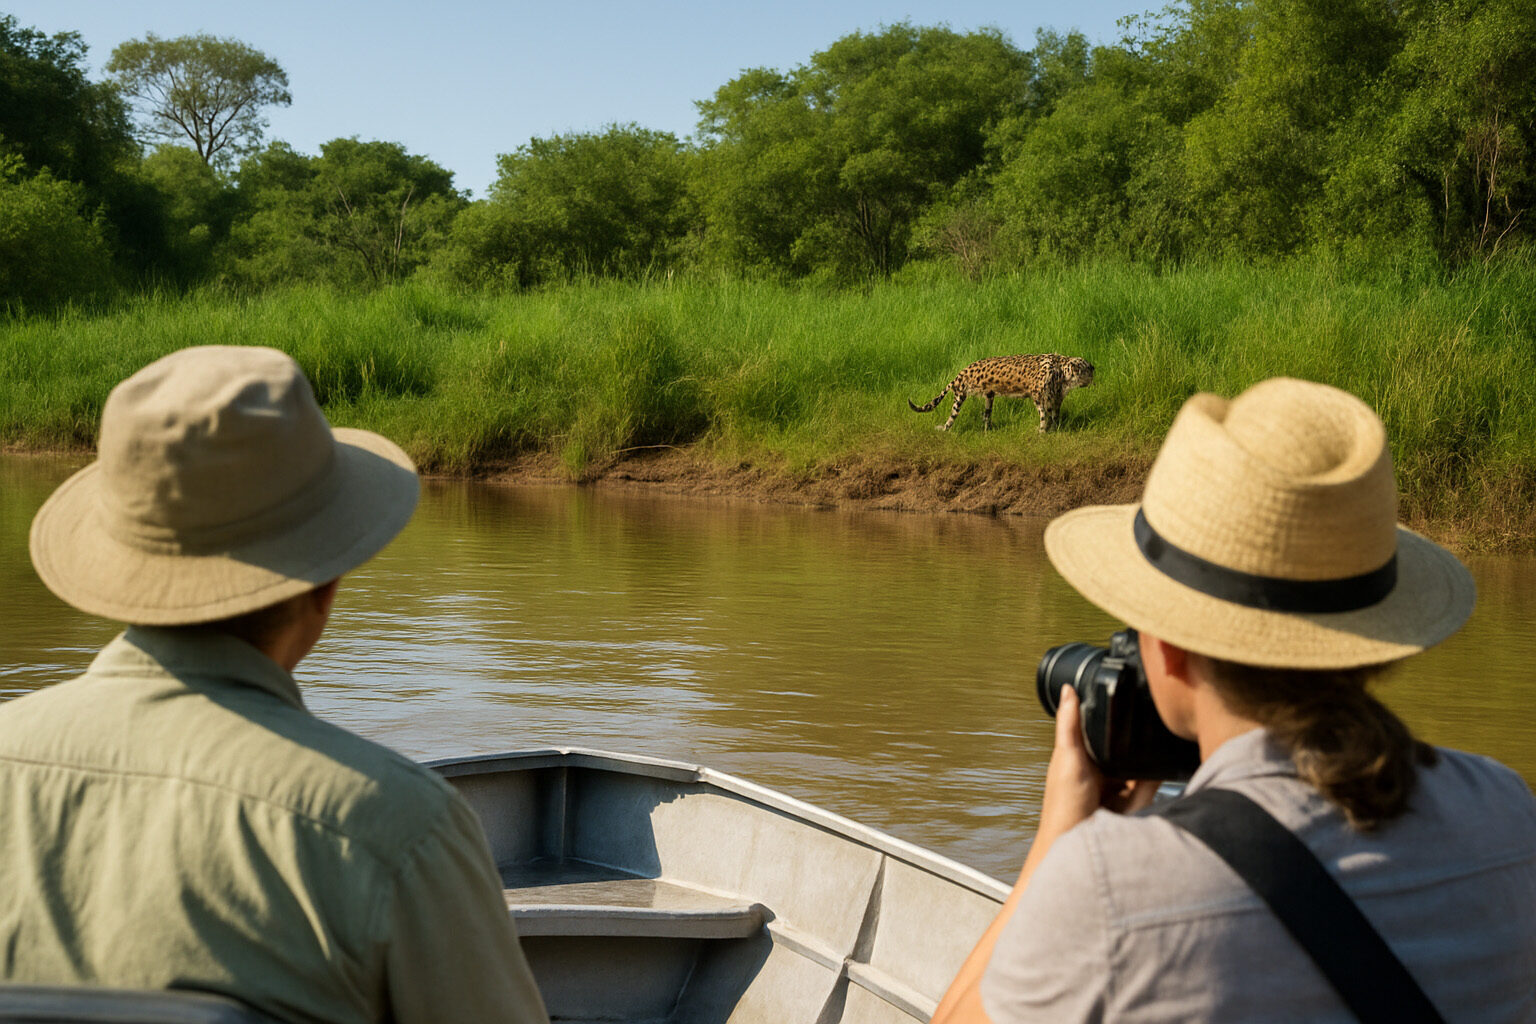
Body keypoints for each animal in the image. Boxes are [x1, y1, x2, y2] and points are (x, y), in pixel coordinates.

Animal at [908, 353, 1095, 433]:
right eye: (1086, 369)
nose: (1093, 370)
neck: (1062, 372)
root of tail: (963, 370)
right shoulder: (1038, 397)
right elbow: (1044, 416)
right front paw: (1042, 432)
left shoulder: (1055, 400)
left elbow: (1055, 416)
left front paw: (1054, 431)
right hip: (961, 394)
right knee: (953, 417)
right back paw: (945, 429)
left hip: (989, 396)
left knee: (985, 415)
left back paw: (988, 430)